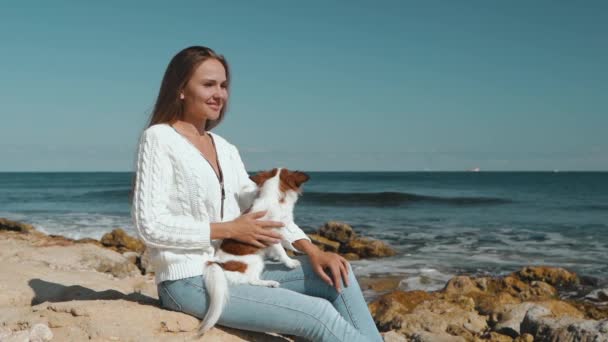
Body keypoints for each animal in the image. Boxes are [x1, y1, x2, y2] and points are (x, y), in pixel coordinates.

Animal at [200, 168, 312, 334]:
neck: (272, 197)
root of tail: (219, 264)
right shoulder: (272, 235)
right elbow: (281, 250)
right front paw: (290, 262)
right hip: (256, 260)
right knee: (251, 280)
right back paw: (270, 283)